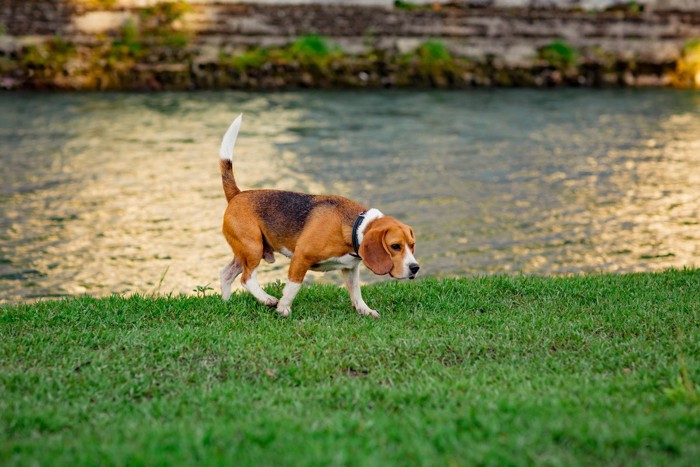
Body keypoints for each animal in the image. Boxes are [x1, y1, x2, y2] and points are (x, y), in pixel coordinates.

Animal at [217, 114, 416, 318]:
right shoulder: (300, 258)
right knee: (247, 278)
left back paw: (227, 303)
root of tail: (237, 194)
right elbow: (293, 287)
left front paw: (365, 310)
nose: (415, 268)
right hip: (253, 247)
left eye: (412, 245)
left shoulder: (350, 268)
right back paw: (267, 299)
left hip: (247, 251)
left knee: (226, 274)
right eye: (395, 246)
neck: (354, 225)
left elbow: (356, 292)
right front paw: (284, 308)